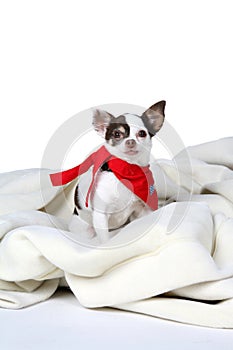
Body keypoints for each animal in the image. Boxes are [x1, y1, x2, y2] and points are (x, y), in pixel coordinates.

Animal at [71, 101, 166, 242]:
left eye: (142, 133)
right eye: (117, 134)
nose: (130, 141)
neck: (128, 170)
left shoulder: (142, 210)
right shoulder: (100, 215)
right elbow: (105, 240)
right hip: (84, 229)